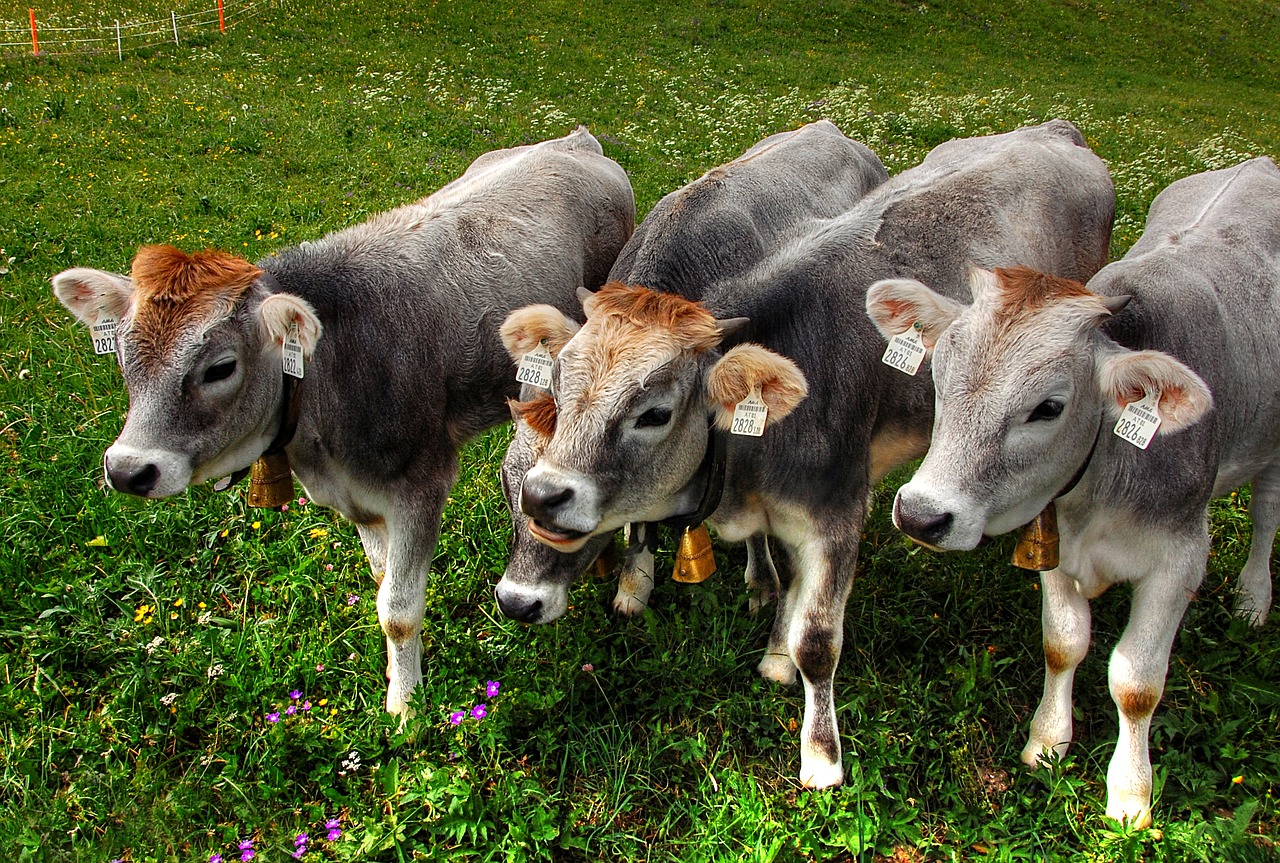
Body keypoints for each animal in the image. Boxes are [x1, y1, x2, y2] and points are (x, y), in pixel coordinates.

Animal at [52, 128, 632, 717]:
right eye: (122, 355)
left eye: (220, 367)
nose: (128, 469)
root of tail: (576, 139)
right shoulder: (360, 498)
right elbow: (381, 582)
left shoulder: (422, 483)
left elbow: (398, 610)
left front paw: (405, 706)